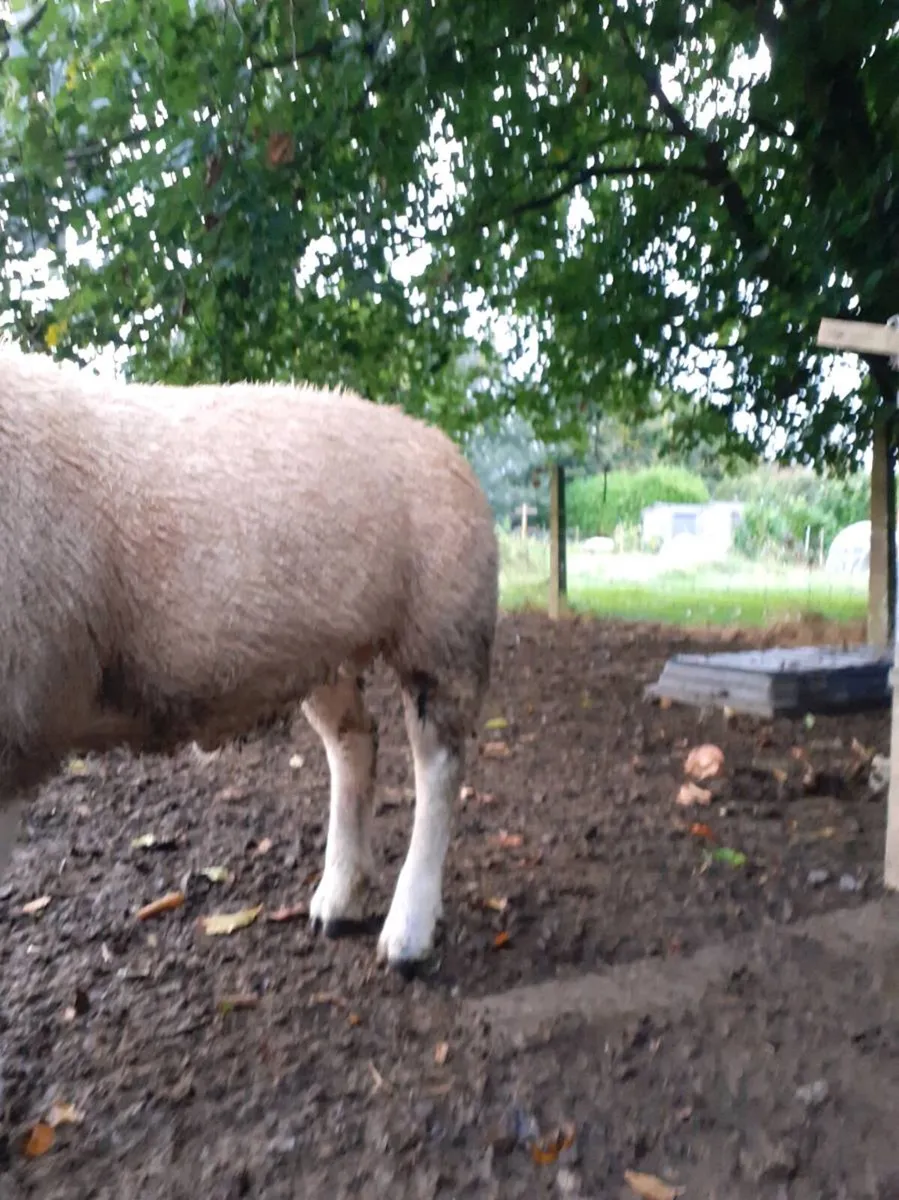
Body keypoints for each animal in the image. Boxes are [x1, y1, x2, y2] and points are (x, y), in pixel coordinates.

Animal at [0, 345, 499, 969]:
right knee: (354, 742)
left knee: (438, 767)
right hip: (328, 652)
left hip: (444, 625)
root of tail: (434, 436)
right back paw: (338, 899)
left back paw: (407, 932)